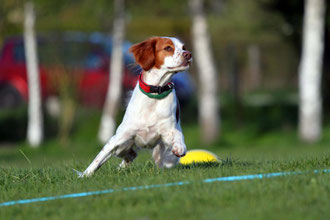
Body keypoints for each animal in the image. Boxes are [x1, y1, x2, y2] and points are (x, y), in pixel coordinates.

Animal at [79, 36, 192, 177]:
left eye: (184, 48)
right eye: (168, 48)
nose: (188, 55)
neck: (155, 95)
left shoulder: (169, 130)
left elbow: (178, 136)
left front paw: (179, 147)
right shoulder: (119, 137)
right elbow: (99, 158)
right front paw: (84, 175)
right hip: (123, 146)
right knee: (130, 153)